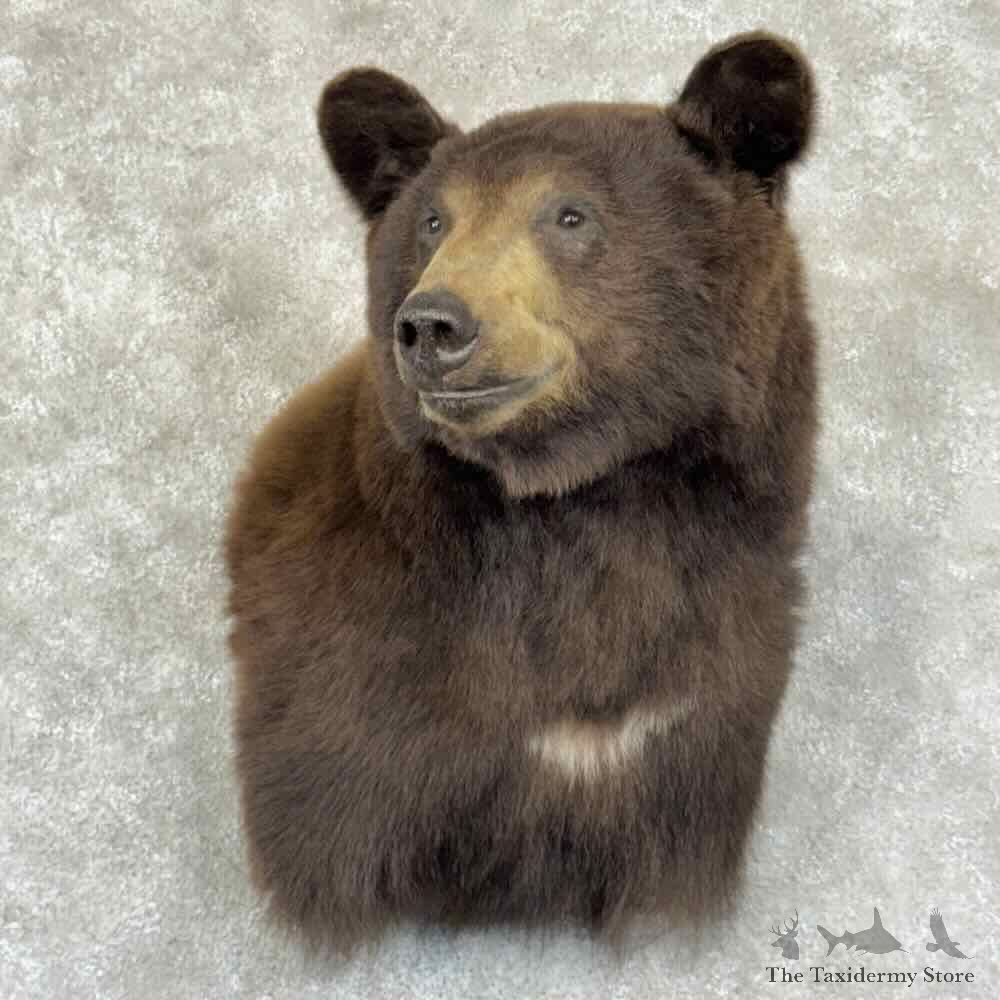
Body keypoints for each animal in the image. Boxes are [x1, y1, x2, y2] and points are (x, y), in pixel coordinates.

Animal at [225, 31, 818, 954]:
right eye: (435, 220)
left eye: (569, 215)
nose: (433, 324)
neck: (581, 503)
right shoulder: (358, 682)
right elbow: (331, 825)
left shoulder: (704, 679)